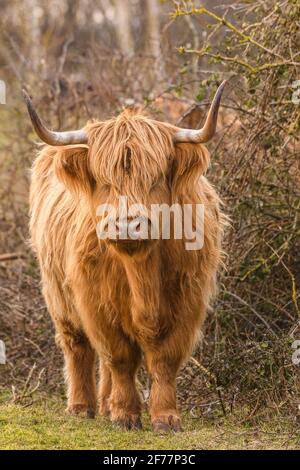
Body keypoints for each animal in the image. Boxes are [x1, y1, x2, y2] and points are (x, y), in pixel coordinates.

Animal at [24, 81, 226, 434]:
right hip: (58, 294)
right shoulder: (95, 303)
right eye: (105, 181)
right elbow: (119, 356)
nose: (126, 225)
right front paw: (125, 414)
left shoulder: (188, 300)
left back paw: (106, 404)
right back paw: (82, 407)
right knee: (77, 346)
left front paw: (165, 417)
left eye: (155, 179)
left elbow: (163, 359)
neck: (141, 271)